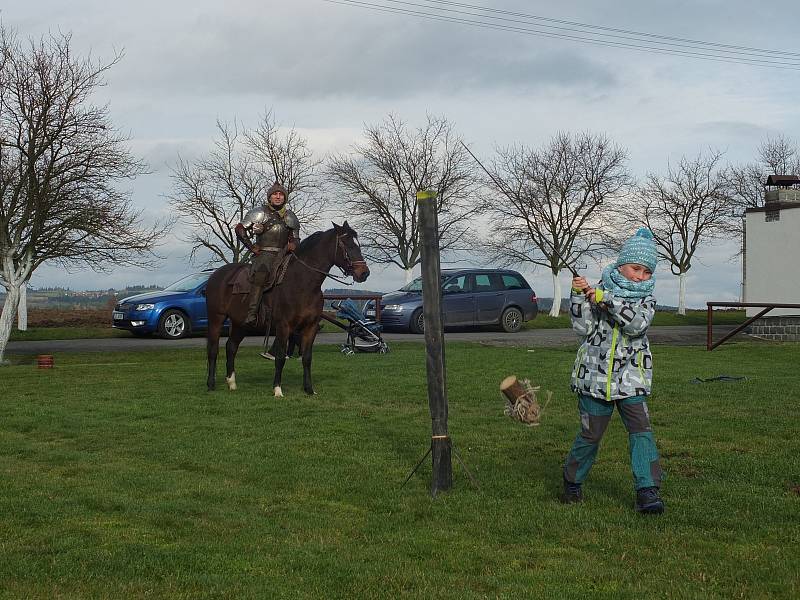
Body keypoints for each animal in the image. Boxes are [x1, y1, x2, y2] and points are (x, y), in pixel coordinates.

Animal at [205, 223, 370, 396]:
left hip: (240, 324)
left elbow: (307, 358)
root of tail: (216, 275)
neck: (303, 283)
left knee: (231, 347)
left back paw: (232, 383)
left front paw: (309, 389)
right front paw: (277, 389)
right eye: (348, 245)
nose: (364, 273)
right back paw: (211, 384)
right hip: (216, 318)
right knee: (213, 349)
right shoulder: (284, 327)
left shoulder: (310, 327)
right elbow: (280, 358)